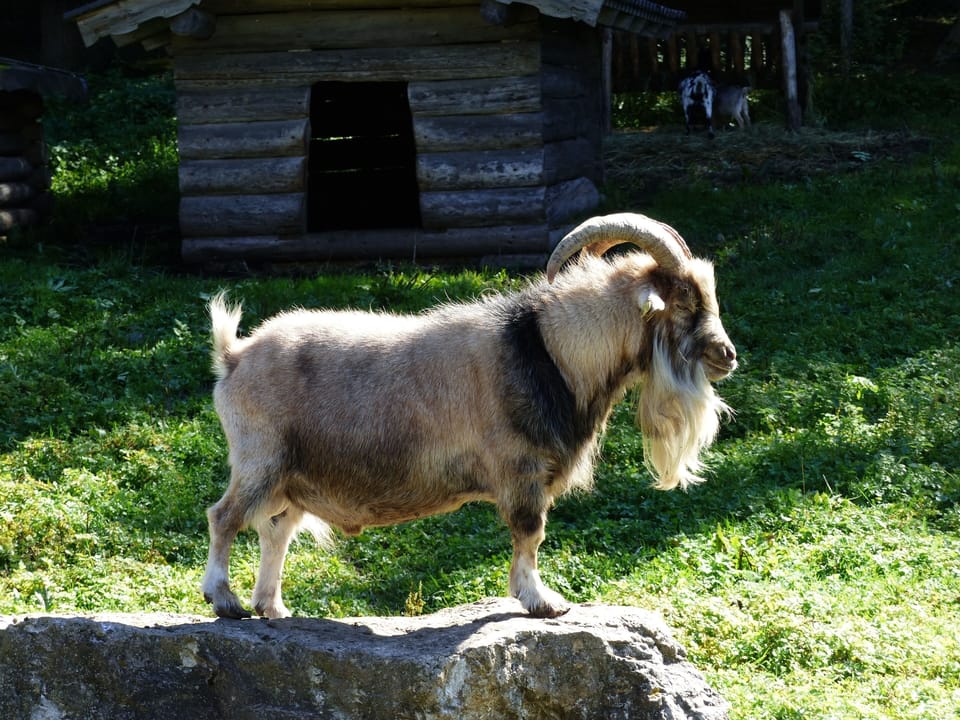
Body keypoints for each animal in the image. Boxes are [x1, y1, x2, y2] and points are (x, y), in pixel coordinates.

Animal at [201, 213, 737, 620]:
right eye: (685, 300)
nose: (727, 355)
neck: (549, 350)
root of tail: (234, 356)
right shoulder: (522, 474)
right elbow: (530, 534)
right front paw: (542, 601)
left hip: (294, 478)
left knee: (275, 530)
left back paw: (273, 608)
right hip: (260, 459)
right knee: (224, 516)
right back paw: (225, 600)